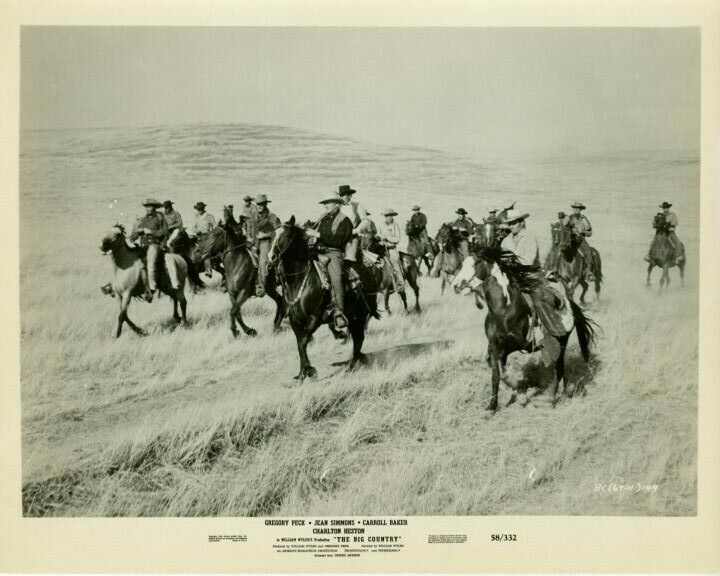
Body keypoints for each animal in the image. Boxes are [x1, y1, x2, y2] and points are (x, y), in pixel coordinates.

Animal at [272, 215, 382, 378]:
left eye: (286, 235)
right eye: (272, 235)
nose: (271, 257)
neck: (299, 281)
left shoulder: (314, 318)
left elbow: (303, 341)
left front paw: (310, 371)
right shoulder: (295, 320)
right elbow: (299, 343)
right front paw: (302, 373)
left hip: (360, 314)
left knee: (358, 337)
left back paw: (352, 365)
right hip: (354, 316)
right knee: (357, 337)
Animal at [450, 245, 596, 412]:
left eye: (476, 263)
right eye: (462, 263)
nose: (455, 285)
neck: (504, 310)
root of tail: (570, 304)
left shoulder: (516, 345)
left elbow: (504, 374)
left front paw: (520, 394)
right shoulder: (494, 346)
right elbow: (496, 375)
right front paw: (492, 405)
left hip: (562, 343)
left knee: (558, 369)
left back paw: (551, 398)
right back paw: (566, 391)